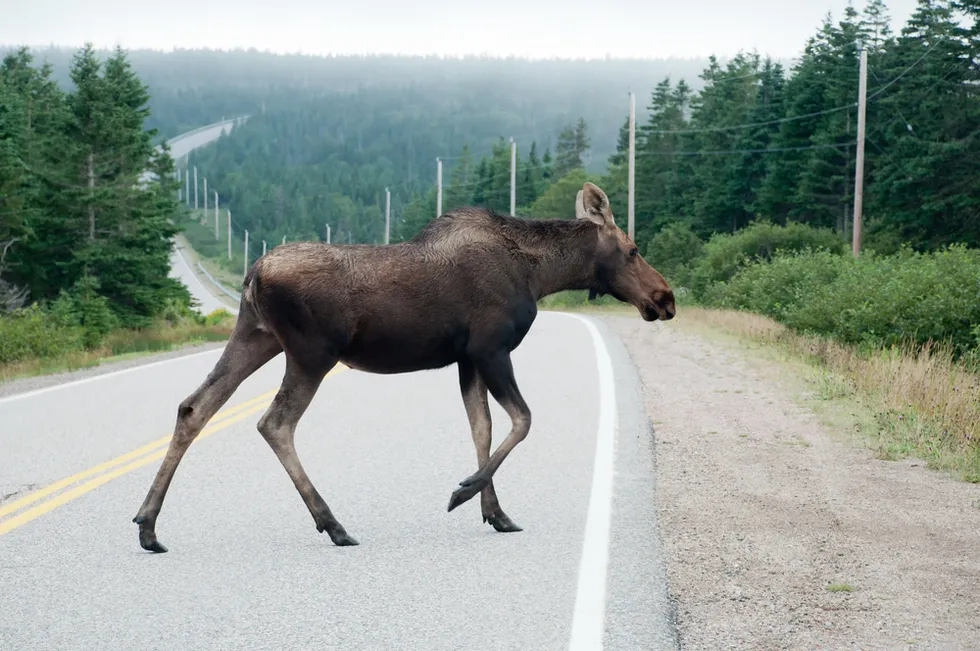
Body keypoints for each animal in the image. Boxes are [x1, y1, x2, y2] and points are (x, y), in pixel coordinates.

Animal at [132, 181, 675, 552]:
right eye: (632, 249)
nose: (665, 298)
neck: (539, 274)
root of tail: (252, 275)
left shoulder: (466, 359)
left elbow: (482, 428)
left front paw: (495, 512)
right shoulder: (491, 349)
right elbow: (522, 420)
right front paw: (463, 492)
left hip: (256, 336)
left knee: (195, 407)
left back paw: (148, 525)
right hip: (310, 353)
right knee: (275, 422)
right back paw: (333, 524)